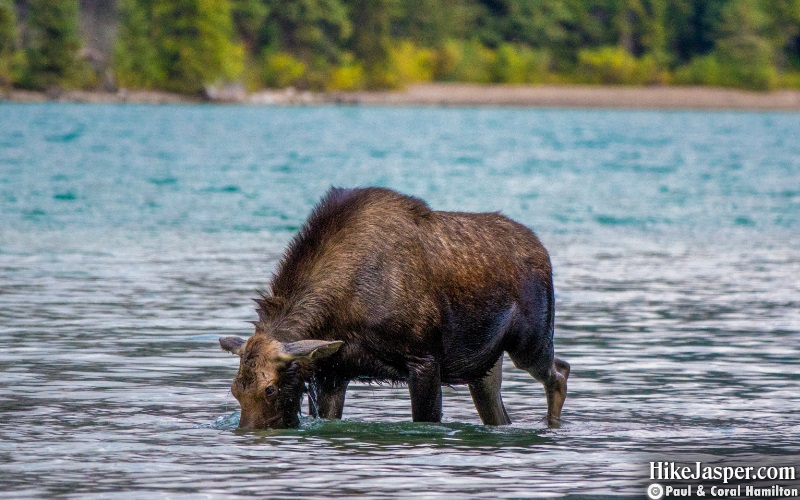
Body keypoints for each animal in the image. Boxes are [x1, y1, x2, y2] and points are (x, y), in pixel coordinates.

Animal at [219, 186, 568, 428]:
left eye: (270, 390)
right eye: (234, 390)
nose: (248, 430)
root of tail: (543, 251)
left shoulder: (425, 360)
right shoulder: (331, 375)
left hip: (531, 343)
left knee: (560, 371)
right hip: (483, 368)